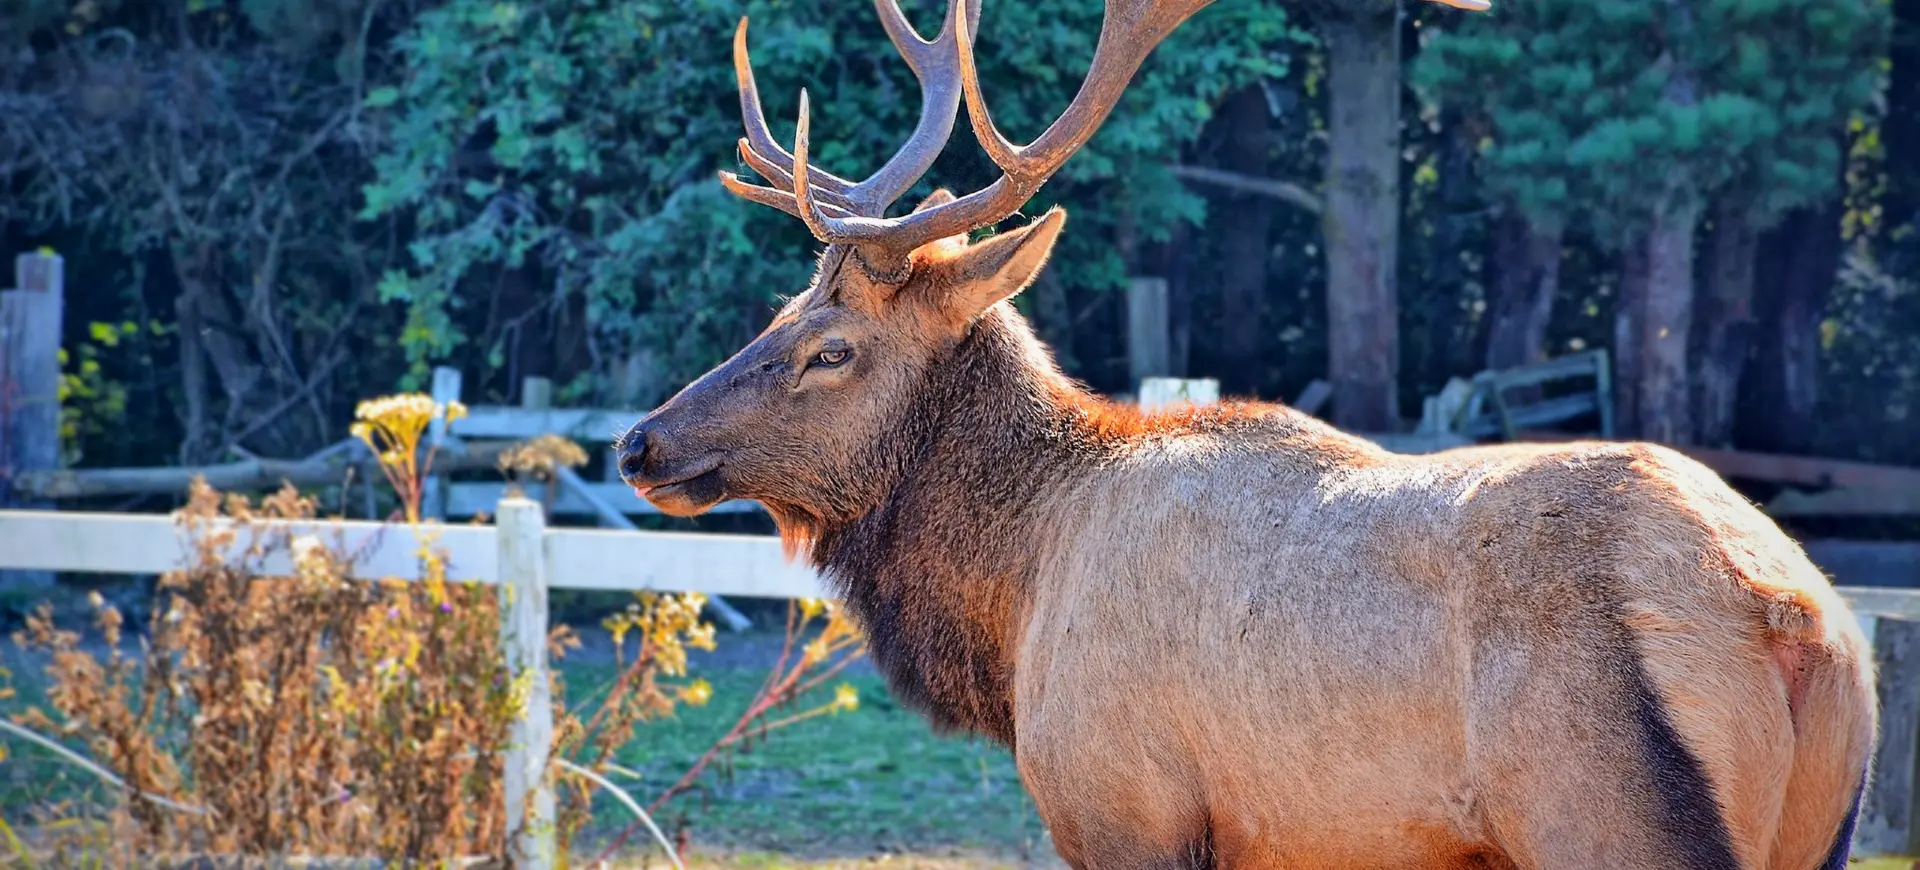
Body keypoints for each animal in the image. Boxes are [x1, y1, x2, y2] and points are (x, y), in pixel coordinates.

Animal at [622, 3, 1881, 864]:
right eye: (782, 312)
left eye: (830, 349)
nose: (642, 442)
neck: (1016, 597)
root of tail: (1794, 617)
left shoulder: (1125, 808)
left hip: (1604, 813)